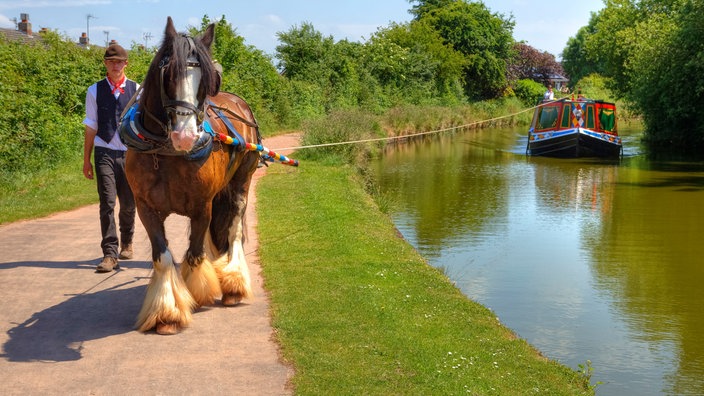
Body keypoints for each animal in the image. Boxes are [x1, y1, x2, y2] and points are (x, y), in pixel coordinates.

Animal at [122, 17, 262, 334]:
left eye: (208, 81)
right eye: (168, 72)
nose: (185, 136)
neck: (165, 153)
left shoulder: (201, 207)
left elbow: (195, 255)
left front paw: (197, 292)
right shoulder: (145, 208)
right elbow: (163, 258)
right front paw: (167, 313)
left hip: (241, 182)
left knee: (234, 229)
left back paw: (233, 283)